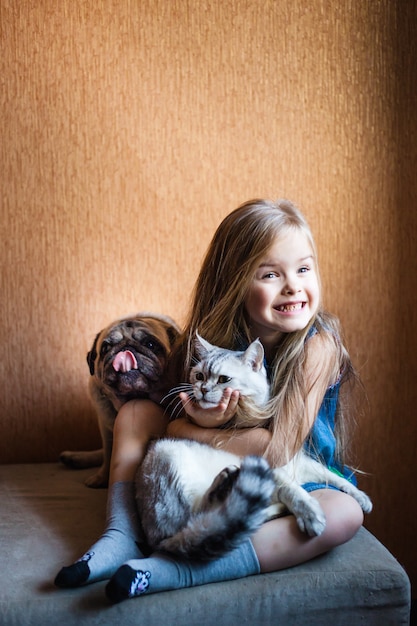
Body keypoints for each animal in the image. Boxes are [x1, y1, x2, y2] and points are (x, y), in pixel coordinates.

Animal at [59, 312, 179, 488]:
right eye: (105, 348)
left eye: (150, 344)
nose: (126, 348)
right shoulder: (106, 430)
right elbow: (108, 455)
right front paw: (102, 477)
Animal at [136, 334, 370, 560]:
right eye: (199, 376)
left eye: (223, 379)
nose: (202, 389)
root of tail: (159, 541)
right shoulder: (272, 468)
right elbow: (292, 490)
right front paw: (311, 513)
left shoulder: (303, 463)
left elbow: (334, 477)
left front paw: (361, 497)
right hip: (171, 460)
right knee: (205, 519)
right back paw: (225, 485)